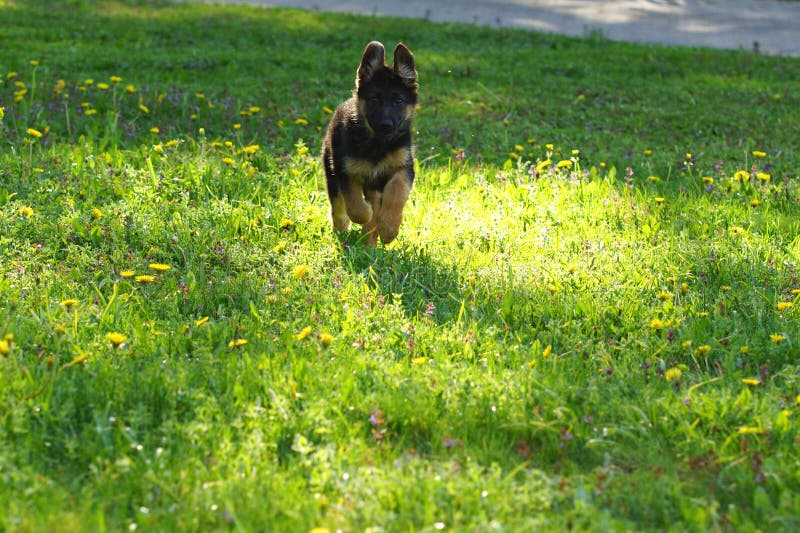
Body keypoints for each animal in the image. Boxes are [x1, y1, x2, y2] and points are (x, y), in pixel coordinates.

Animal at [322, 41, 418, 245]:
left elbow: (396, 192)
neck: (378, 144)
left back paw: (369, 242)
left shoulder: (404, 168)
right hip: (331, 173)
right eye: (374, 99)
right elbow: (355, 206)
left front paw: (389, 229)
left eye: (399, 101)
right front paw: (366, 213)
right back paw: (344, 233)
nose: (386, 125)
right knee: (339, 209)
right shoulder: (345, 171)